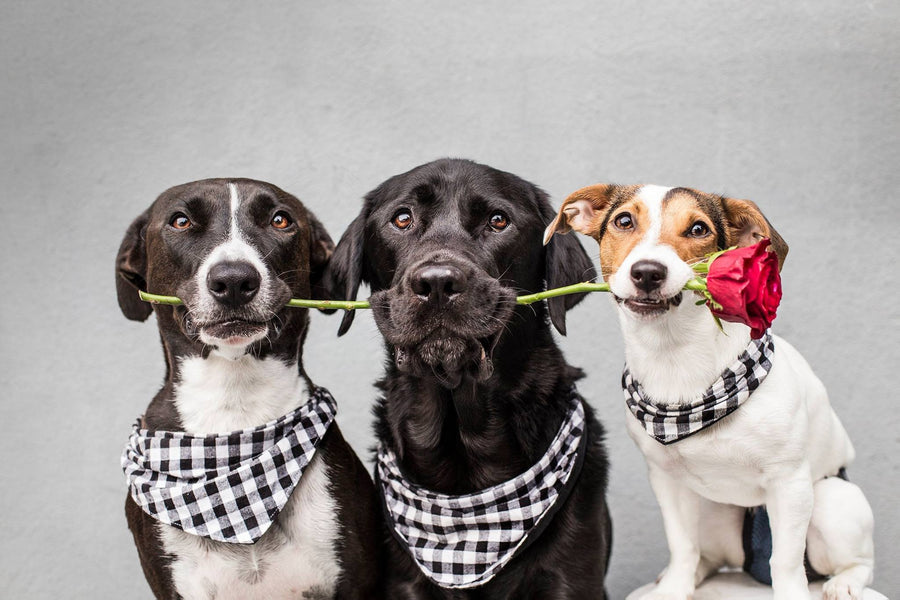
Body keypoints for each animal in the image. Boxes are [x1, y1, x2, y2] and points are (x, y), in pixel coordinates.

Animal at [544, 184, 876, 600]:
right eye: (624, 220)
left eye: (698, 228)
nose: (648, 272)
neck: (674, 356)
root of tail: (746, 564)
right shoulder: (666, 480)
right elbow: (682, 544)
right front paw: (675, 588)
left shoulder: (790, 483)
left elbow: (785, 562)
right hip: (710, 510)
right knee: (707, 555)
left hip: (832, 502)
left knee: (857, 561)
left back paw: (845, 582)